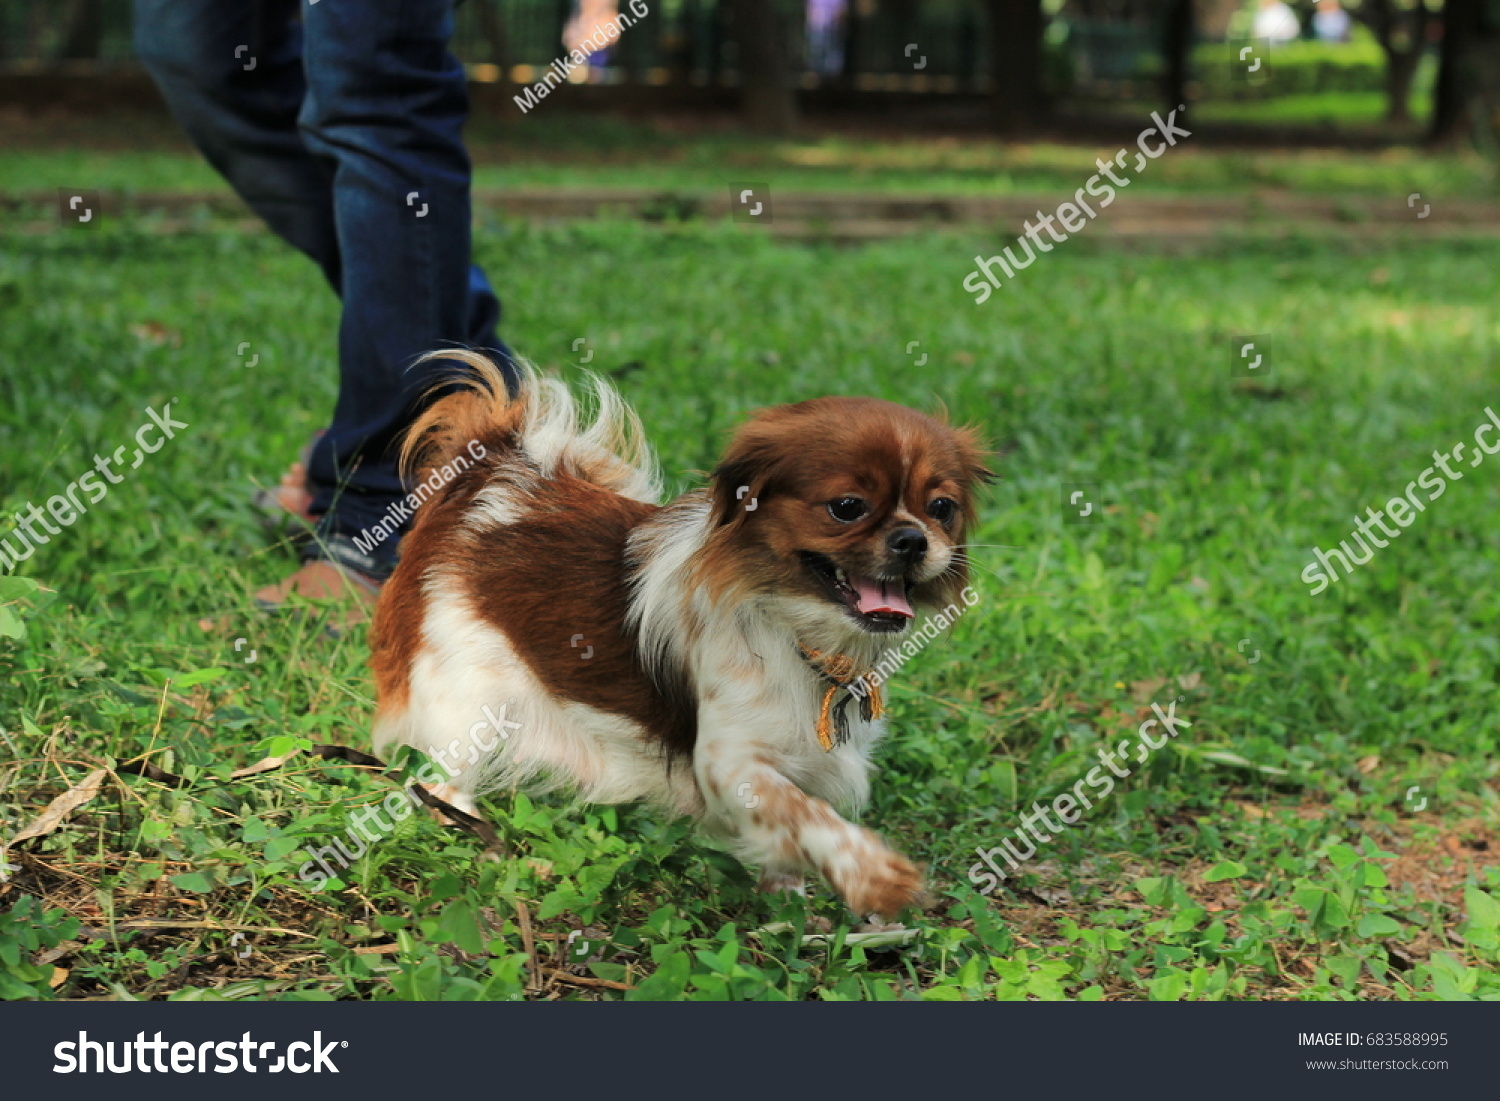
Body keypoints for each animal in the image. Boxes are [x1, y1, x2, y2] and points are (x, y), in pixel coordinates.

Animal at [369, 351, 990, 912]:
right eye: (847, 507)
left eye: (941, 508)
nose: (913, 539)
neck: (798, 630)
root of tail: (491, 476)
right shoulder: (730, 763)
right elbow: (803, 812)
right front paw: (873, 875)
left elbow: (790, 829)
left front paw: (786, 902)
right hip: (466, 704)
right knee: (442, 783)